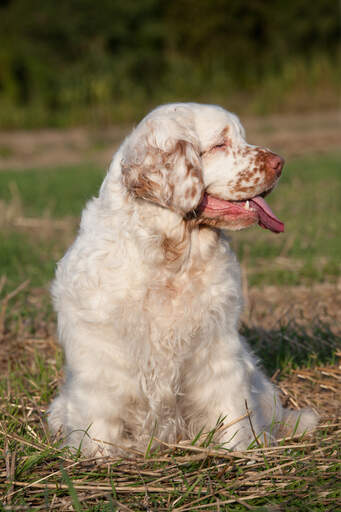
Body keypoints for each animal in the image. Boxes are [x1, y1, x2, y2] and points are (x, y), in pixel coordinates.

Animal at [48, 102, 318, 454]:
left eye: (241, 137)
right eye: (219, 144)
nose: (280, 163)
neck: (171, 260)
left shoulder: (218, 352)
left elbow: (231, 410)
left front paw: (238, 452)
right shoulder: (101, 364)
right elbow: (99, 425)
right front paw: (97, 459)